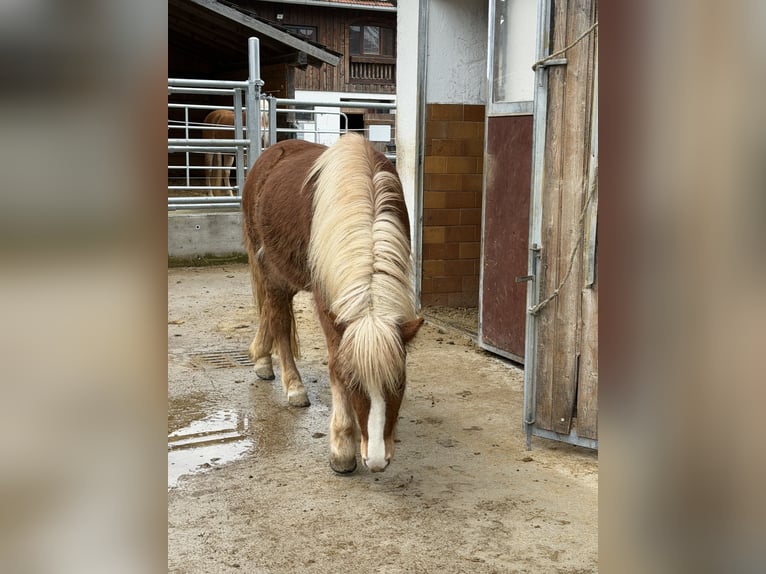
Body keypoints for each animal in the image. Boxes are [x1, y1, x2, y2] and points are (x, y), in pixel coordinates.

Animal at [242, 133, 423, 474]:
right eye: (353, 384)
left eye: (400, 383)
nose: (377, 460)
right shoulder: (328, 301)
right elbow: (335, 365)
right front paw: (342, 446)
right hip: (269, 268)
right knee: (278, 319)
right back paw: (293, 386)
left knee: (270, 311)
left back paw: (262, 359)